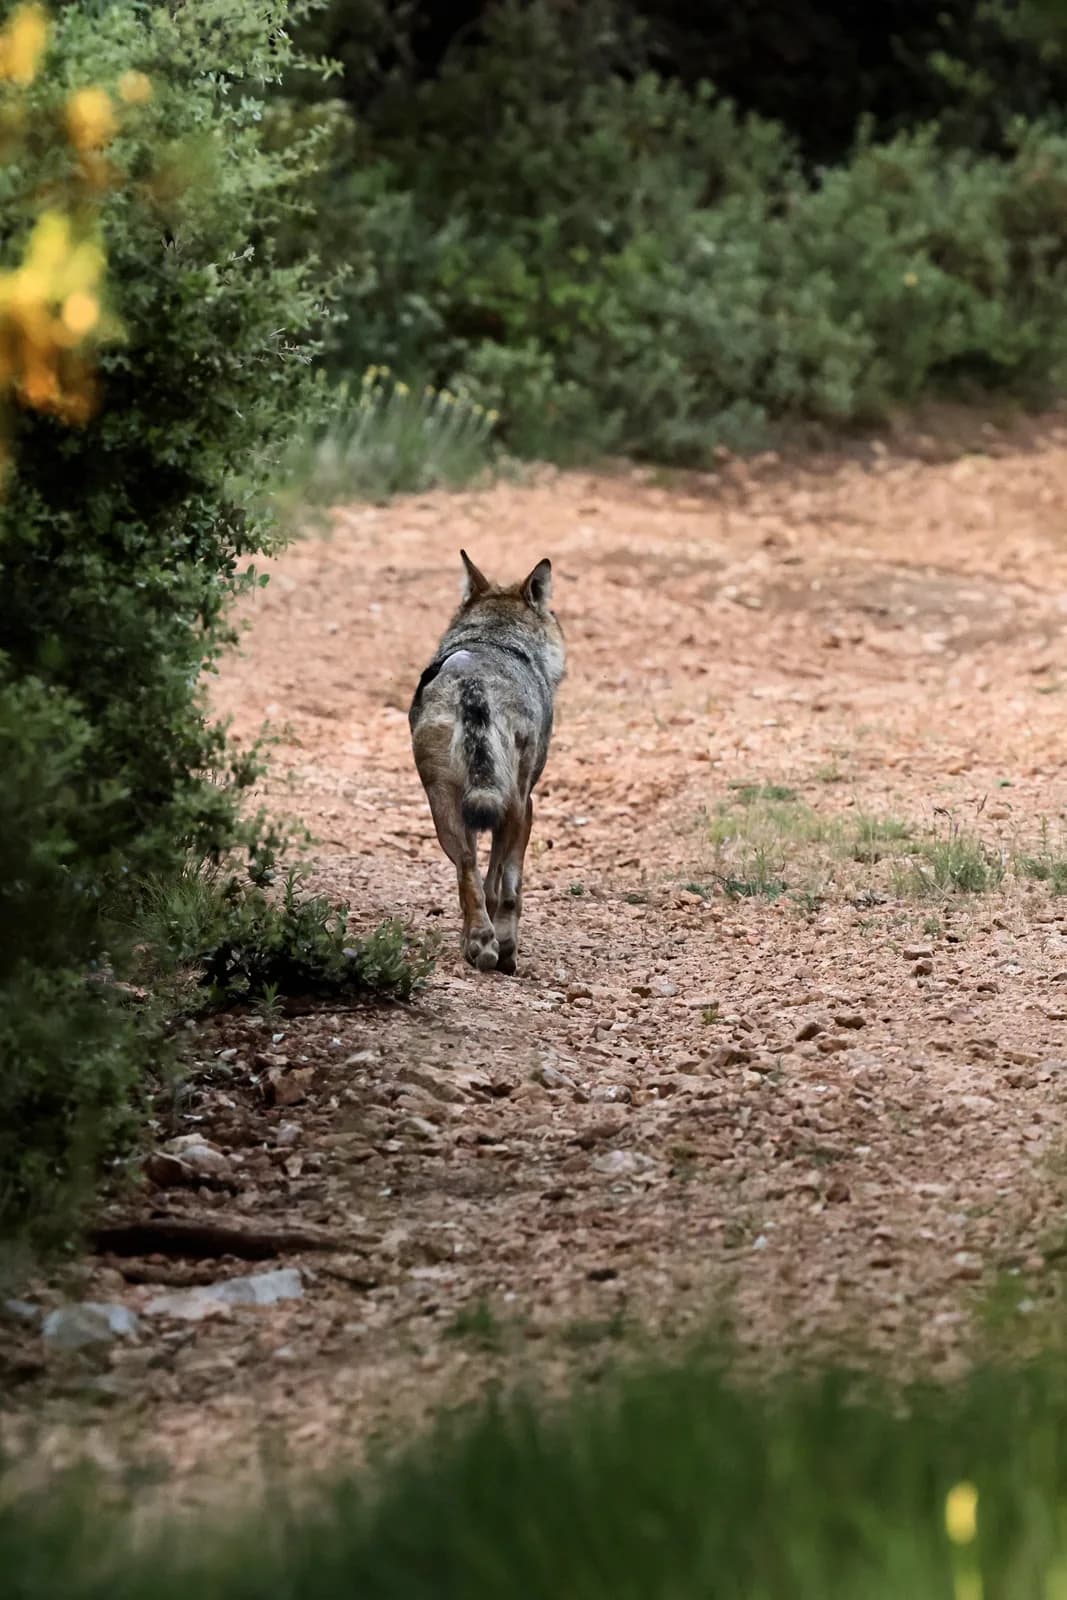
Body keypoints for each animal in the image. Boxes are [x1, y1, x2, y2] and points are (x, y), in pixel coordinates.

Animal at [409, 550, 565, 975]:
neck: (493, 639)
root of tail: (472, 681)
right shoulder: (527, 805)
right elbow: (507, 886)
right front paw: (505, 947)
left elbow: (478, 880)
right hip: (511, 805)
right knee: (498, 885)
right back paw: (501, 949)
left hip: (444, 807)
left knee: (466, 870)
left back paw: (478, 942)